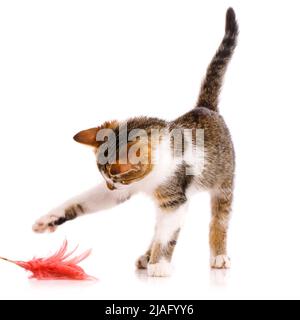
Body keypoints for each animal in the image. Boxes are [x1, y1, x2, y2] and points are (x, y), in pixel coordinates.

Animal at [32, 8, 238, 276]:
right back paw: (145, 256)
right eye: (106, 178)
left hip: (224, 183)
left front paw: (159, 264)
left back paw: (218, 257)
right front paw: (49, 219)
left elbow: (168, 234)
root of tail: (205, 107)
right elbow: (84, 200)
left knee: (219, 219)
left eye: (118, 176)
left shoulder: (174, 198)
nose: (111, 187)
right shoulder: (127, 192)